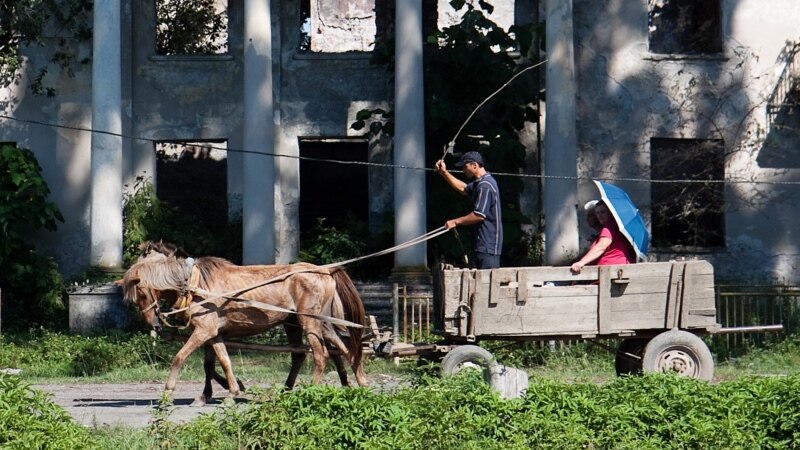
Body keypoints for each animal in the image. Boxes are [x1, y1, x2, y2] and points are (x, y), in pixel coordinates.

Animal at [119, 251, 368, 402]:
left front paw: (168, 392)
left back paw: (310, 390)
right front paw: (231, 391)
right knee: (346, 350)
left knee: (320, 355)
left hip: (311, 322)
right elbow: (222, 361)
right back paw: (361, 383)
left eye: (142, 293)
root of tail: (325, 271)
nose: (154, 324)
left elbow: (179, 357)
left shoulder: (203, 332)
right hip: (320, 323)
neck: (195, 285)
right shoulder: (213, 333)